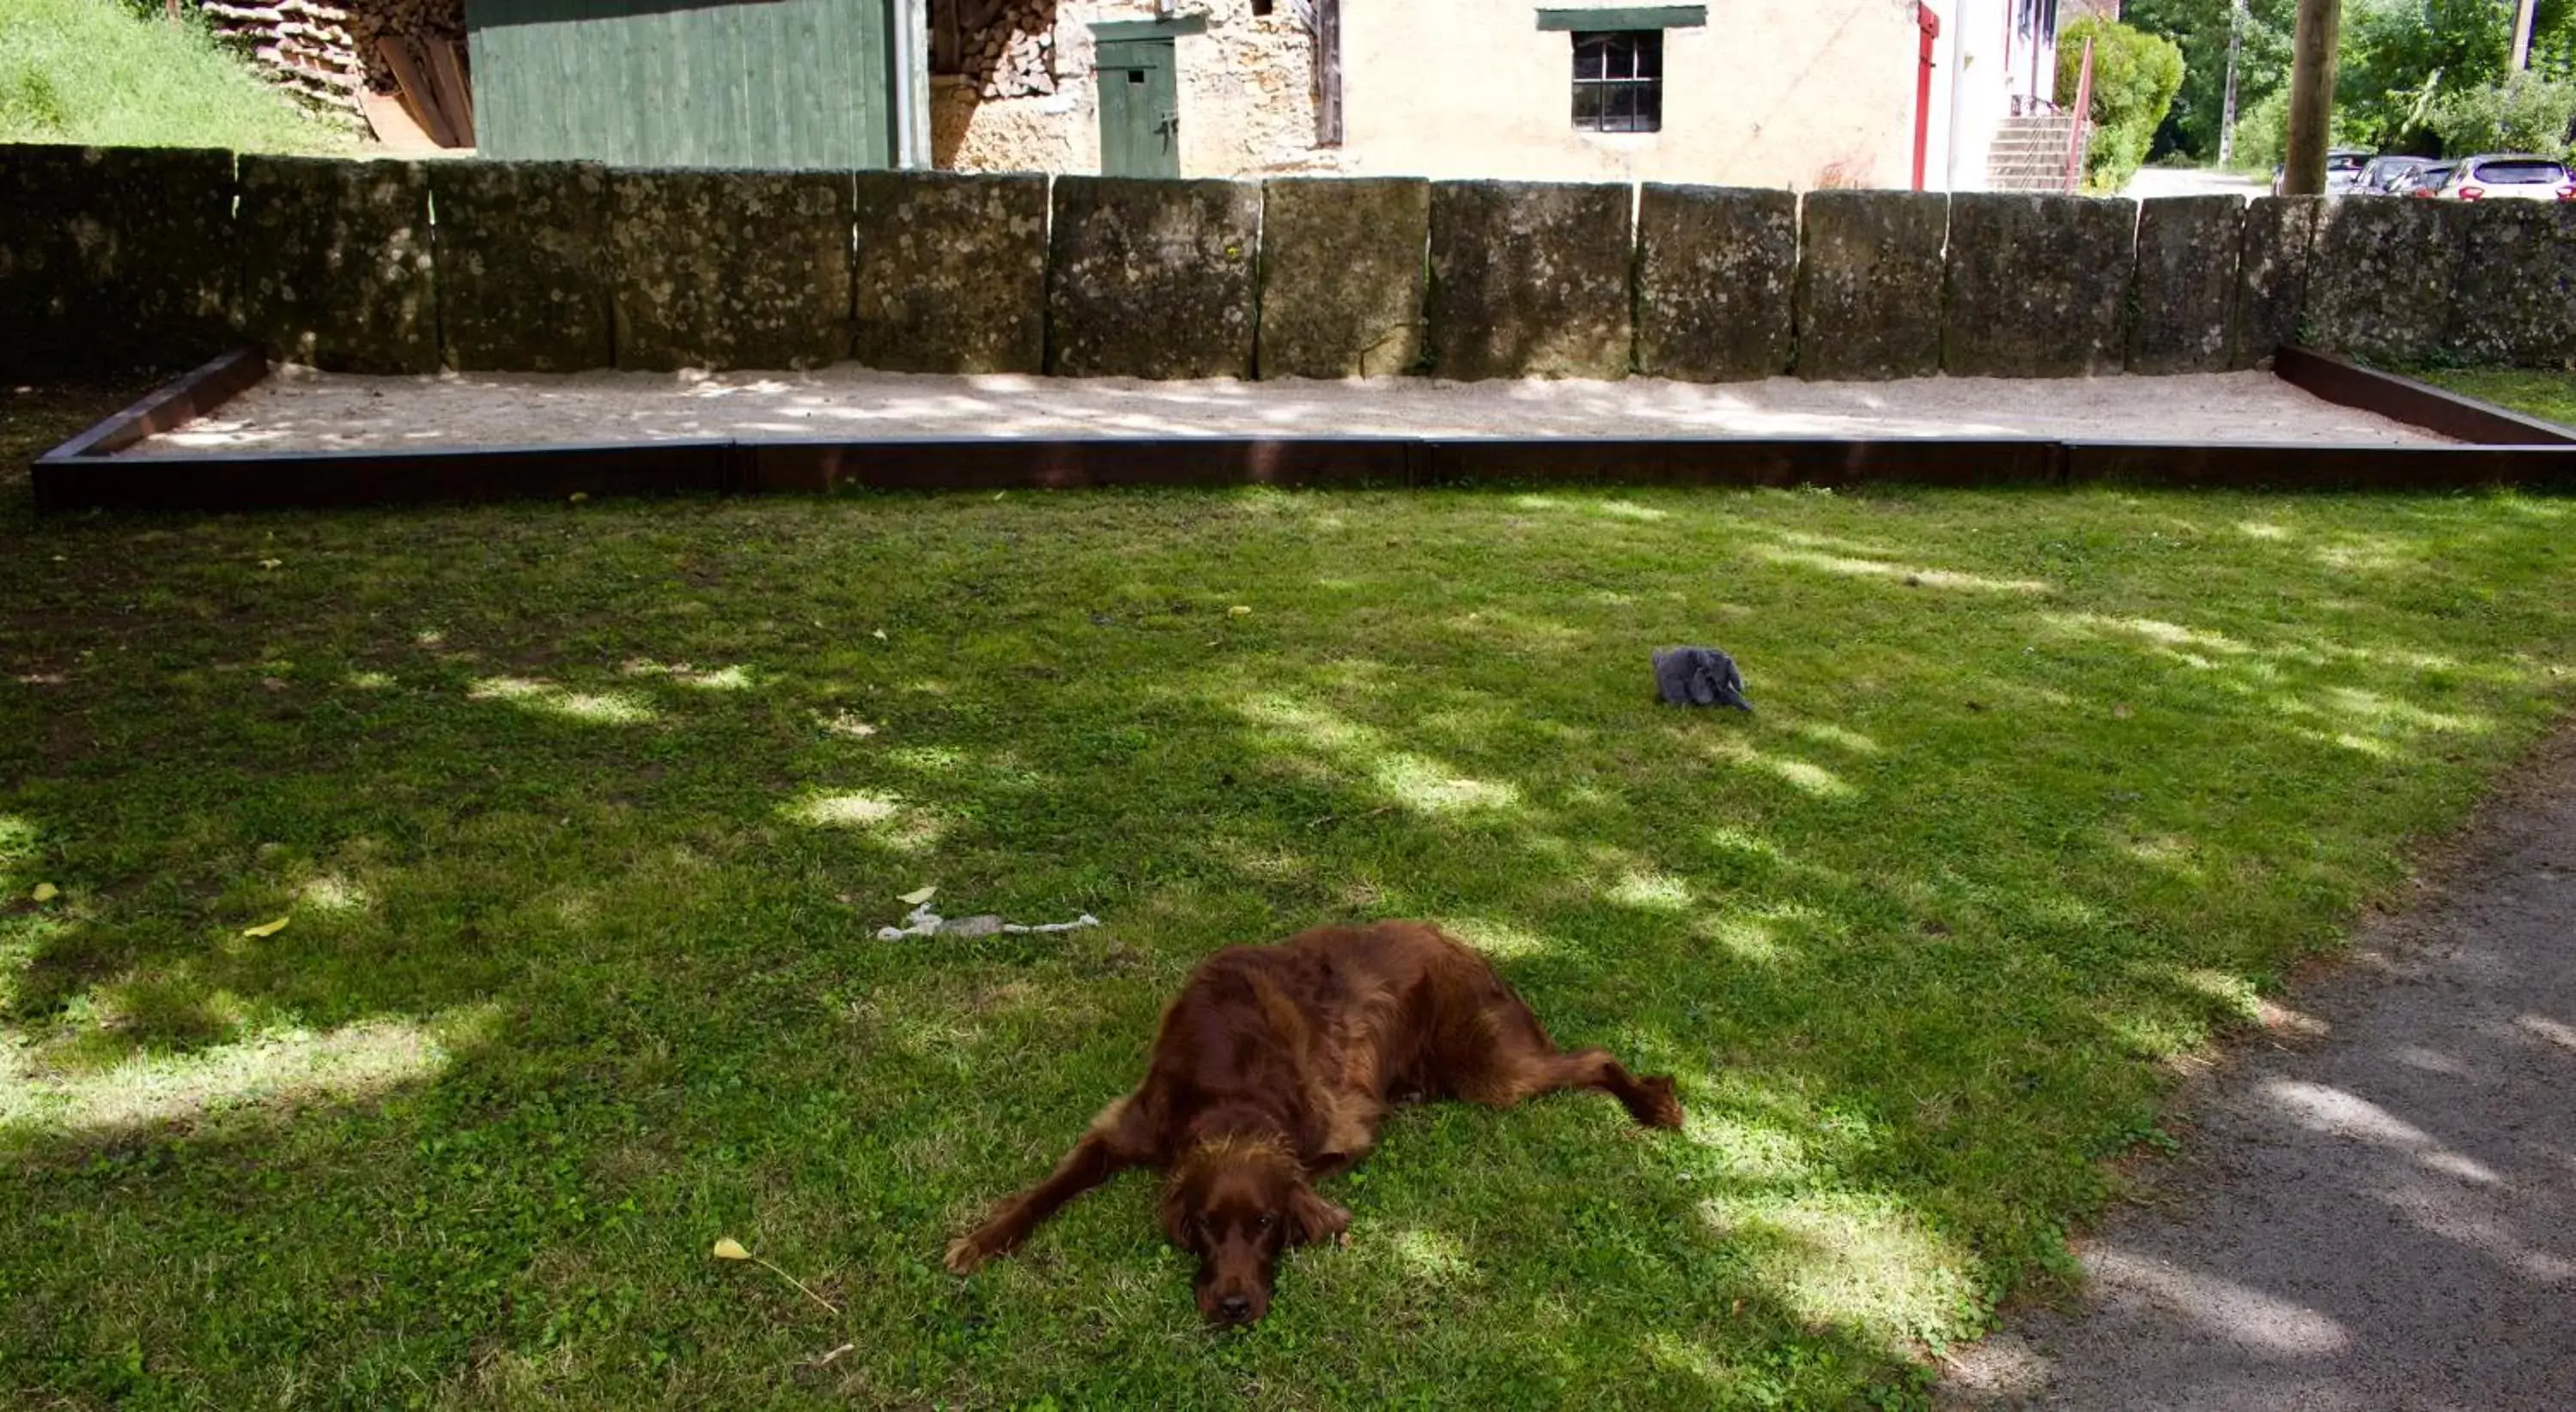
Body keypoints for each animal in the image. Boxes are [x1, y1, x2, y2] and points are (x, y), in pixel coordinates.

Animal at [948, 922, 1690, 1330]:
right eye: (1207, 1226)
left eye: (1266, 1225)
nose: (1235, 1307)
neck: (1229, 1092)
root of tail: (1456, 940)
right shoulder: (1128, 1125)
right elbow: (1051, 1187)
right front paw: (982, 1241)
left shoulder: (1346, 1131)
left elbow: (1313, 1176)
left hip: (1492, 1070)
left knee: (1595, 1057)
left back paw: (1654, 1104)